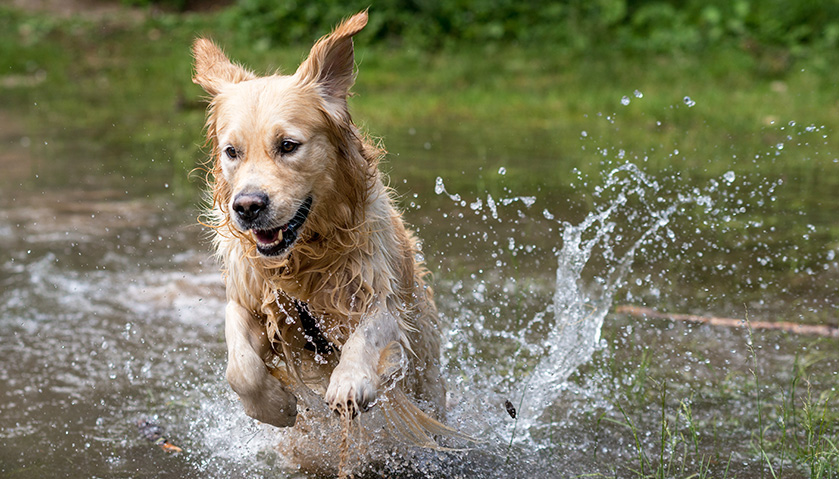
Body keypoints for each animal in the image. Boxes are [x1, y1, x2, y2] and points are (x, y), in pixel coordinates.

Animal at [193, 11, 456, 472]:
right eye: (231, 152)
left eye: (288, 145)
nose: (247, 206)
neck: (303, 259)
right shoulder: (248, 296)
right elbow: (240, 367)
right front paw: (276, 406)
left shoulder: (382, 296)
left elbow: (368, 332)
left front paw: (349, 382)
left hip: (426, 377)